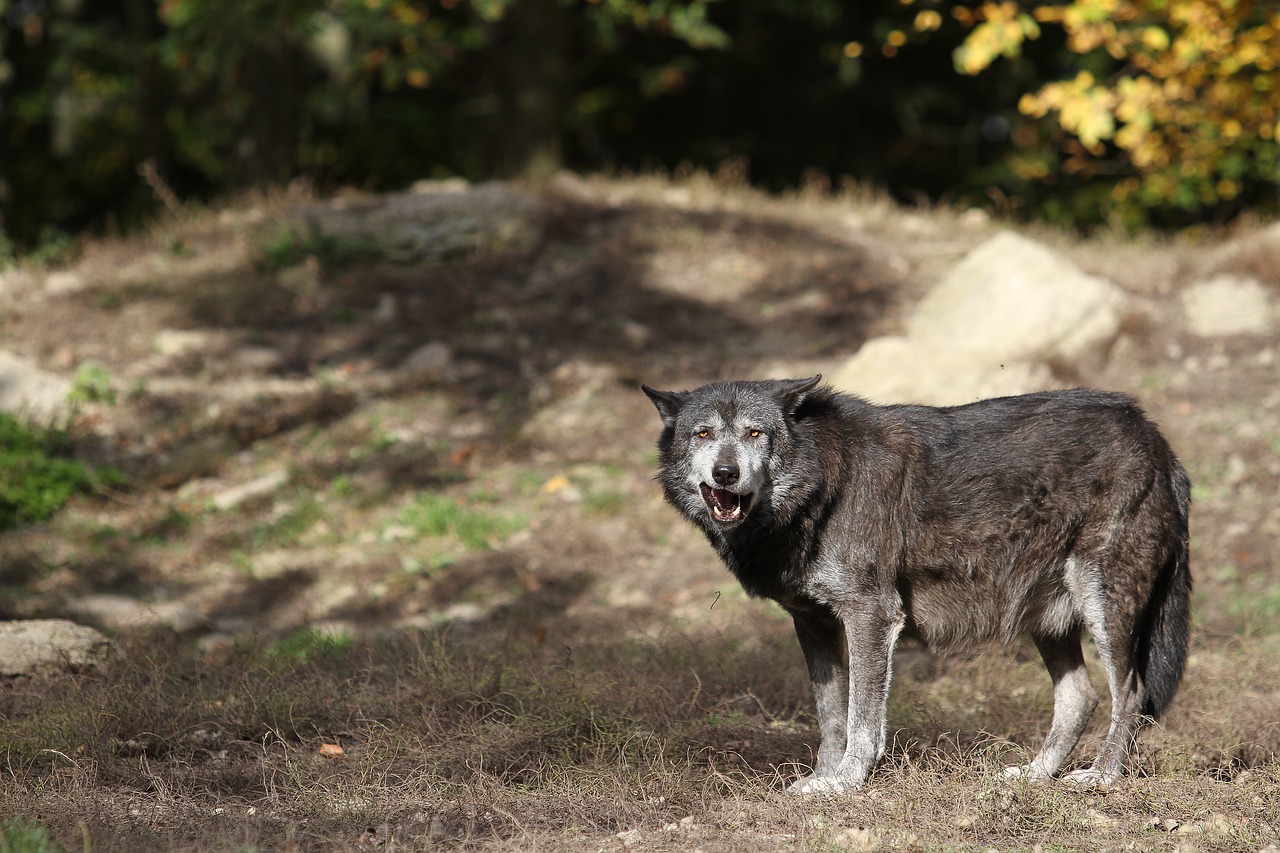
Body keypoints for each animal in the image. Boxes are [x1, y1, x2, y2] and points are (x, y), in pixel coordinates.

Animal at [645, 376, 1192, 788]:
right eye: (702, 434)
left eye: (756, 434)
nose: (725, 472)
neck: (822, 486)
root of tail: (1156, 438)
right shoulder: (812, 622)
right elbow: (831, 716)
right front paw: (821, 779)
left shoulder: (871, 613)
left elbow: (863, 720)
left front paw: (846, 784)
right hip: (1047, 618)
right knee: (1081, 698)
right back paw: (1035, 775)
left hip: (1103, 605)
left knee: (1132, 692)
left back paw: (1101, 777)